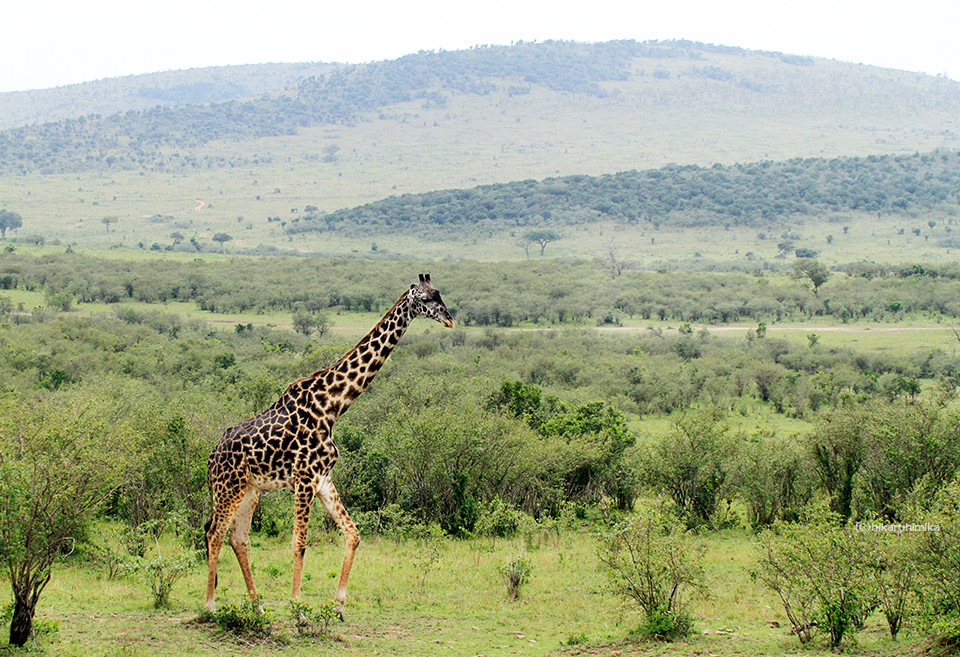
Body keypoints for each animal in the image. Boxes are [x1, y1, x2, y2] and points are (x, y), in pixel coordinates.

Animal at [202, 272, 454, 616]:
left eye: (440, 294)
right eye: (426, 299)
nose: (450, 319)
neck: (333, 405)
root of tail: (211, 457)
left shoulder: (324, 479)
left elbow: (353, 534)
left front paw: (338, 604)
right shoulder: (304, 479)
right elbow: (300, 542)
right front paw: (297, 607)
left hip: (250, 491)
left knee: (237, 538)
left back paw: (257, 607)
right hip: (228, 488)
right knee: (214, 534)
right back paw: (211, 605)